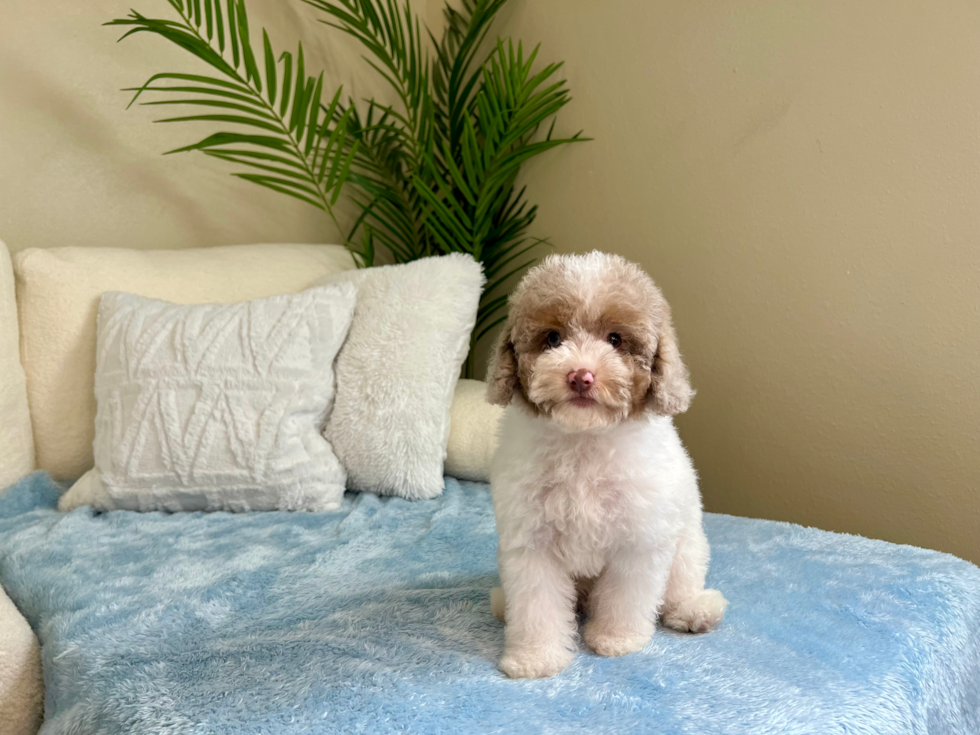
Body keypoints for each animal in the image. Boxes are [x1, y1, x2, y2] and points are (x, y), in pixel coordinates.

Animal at [484, 252, 724, 680]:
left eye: (615, 339)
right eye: (553, 339)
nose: (581, 376)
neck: (585, 439)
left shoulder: (639, 537)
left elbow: (626, 594)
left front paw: (617, 638)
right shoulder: (532, 542)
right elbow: (536, 604)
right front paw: (535, 657)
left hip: (687, 547)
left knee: (679, 587)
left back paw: (695, 611)